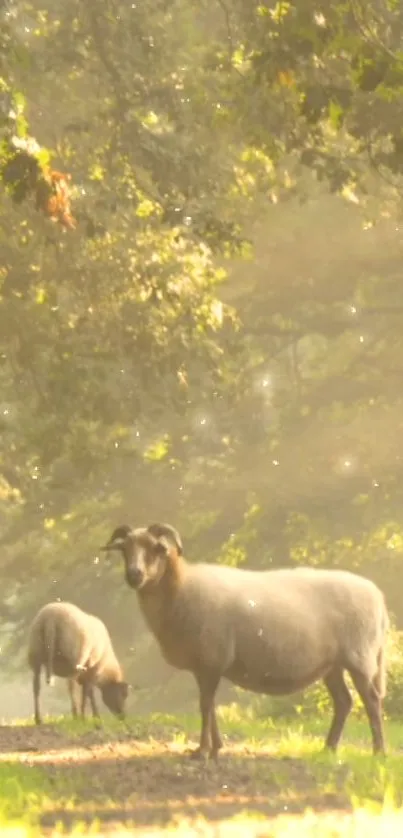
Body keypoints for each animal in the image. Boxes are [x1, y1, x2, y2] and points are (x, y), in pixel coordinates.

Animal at [102, 524, 390, 760]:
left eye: (155, 549)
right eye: (125, 549)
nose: (134, 575)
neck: (180, 587)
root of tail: (378, 597)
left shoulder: (211, 659)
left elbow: (205, 706)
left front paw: (203, 751)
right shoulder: (204, 665)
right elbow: (209, 705)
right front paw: (214, 748)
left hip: (360, 657)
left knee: (372, 701)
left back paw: (379, 751)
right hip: (333, 664)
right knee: (344, 702)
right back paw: (328, 748)